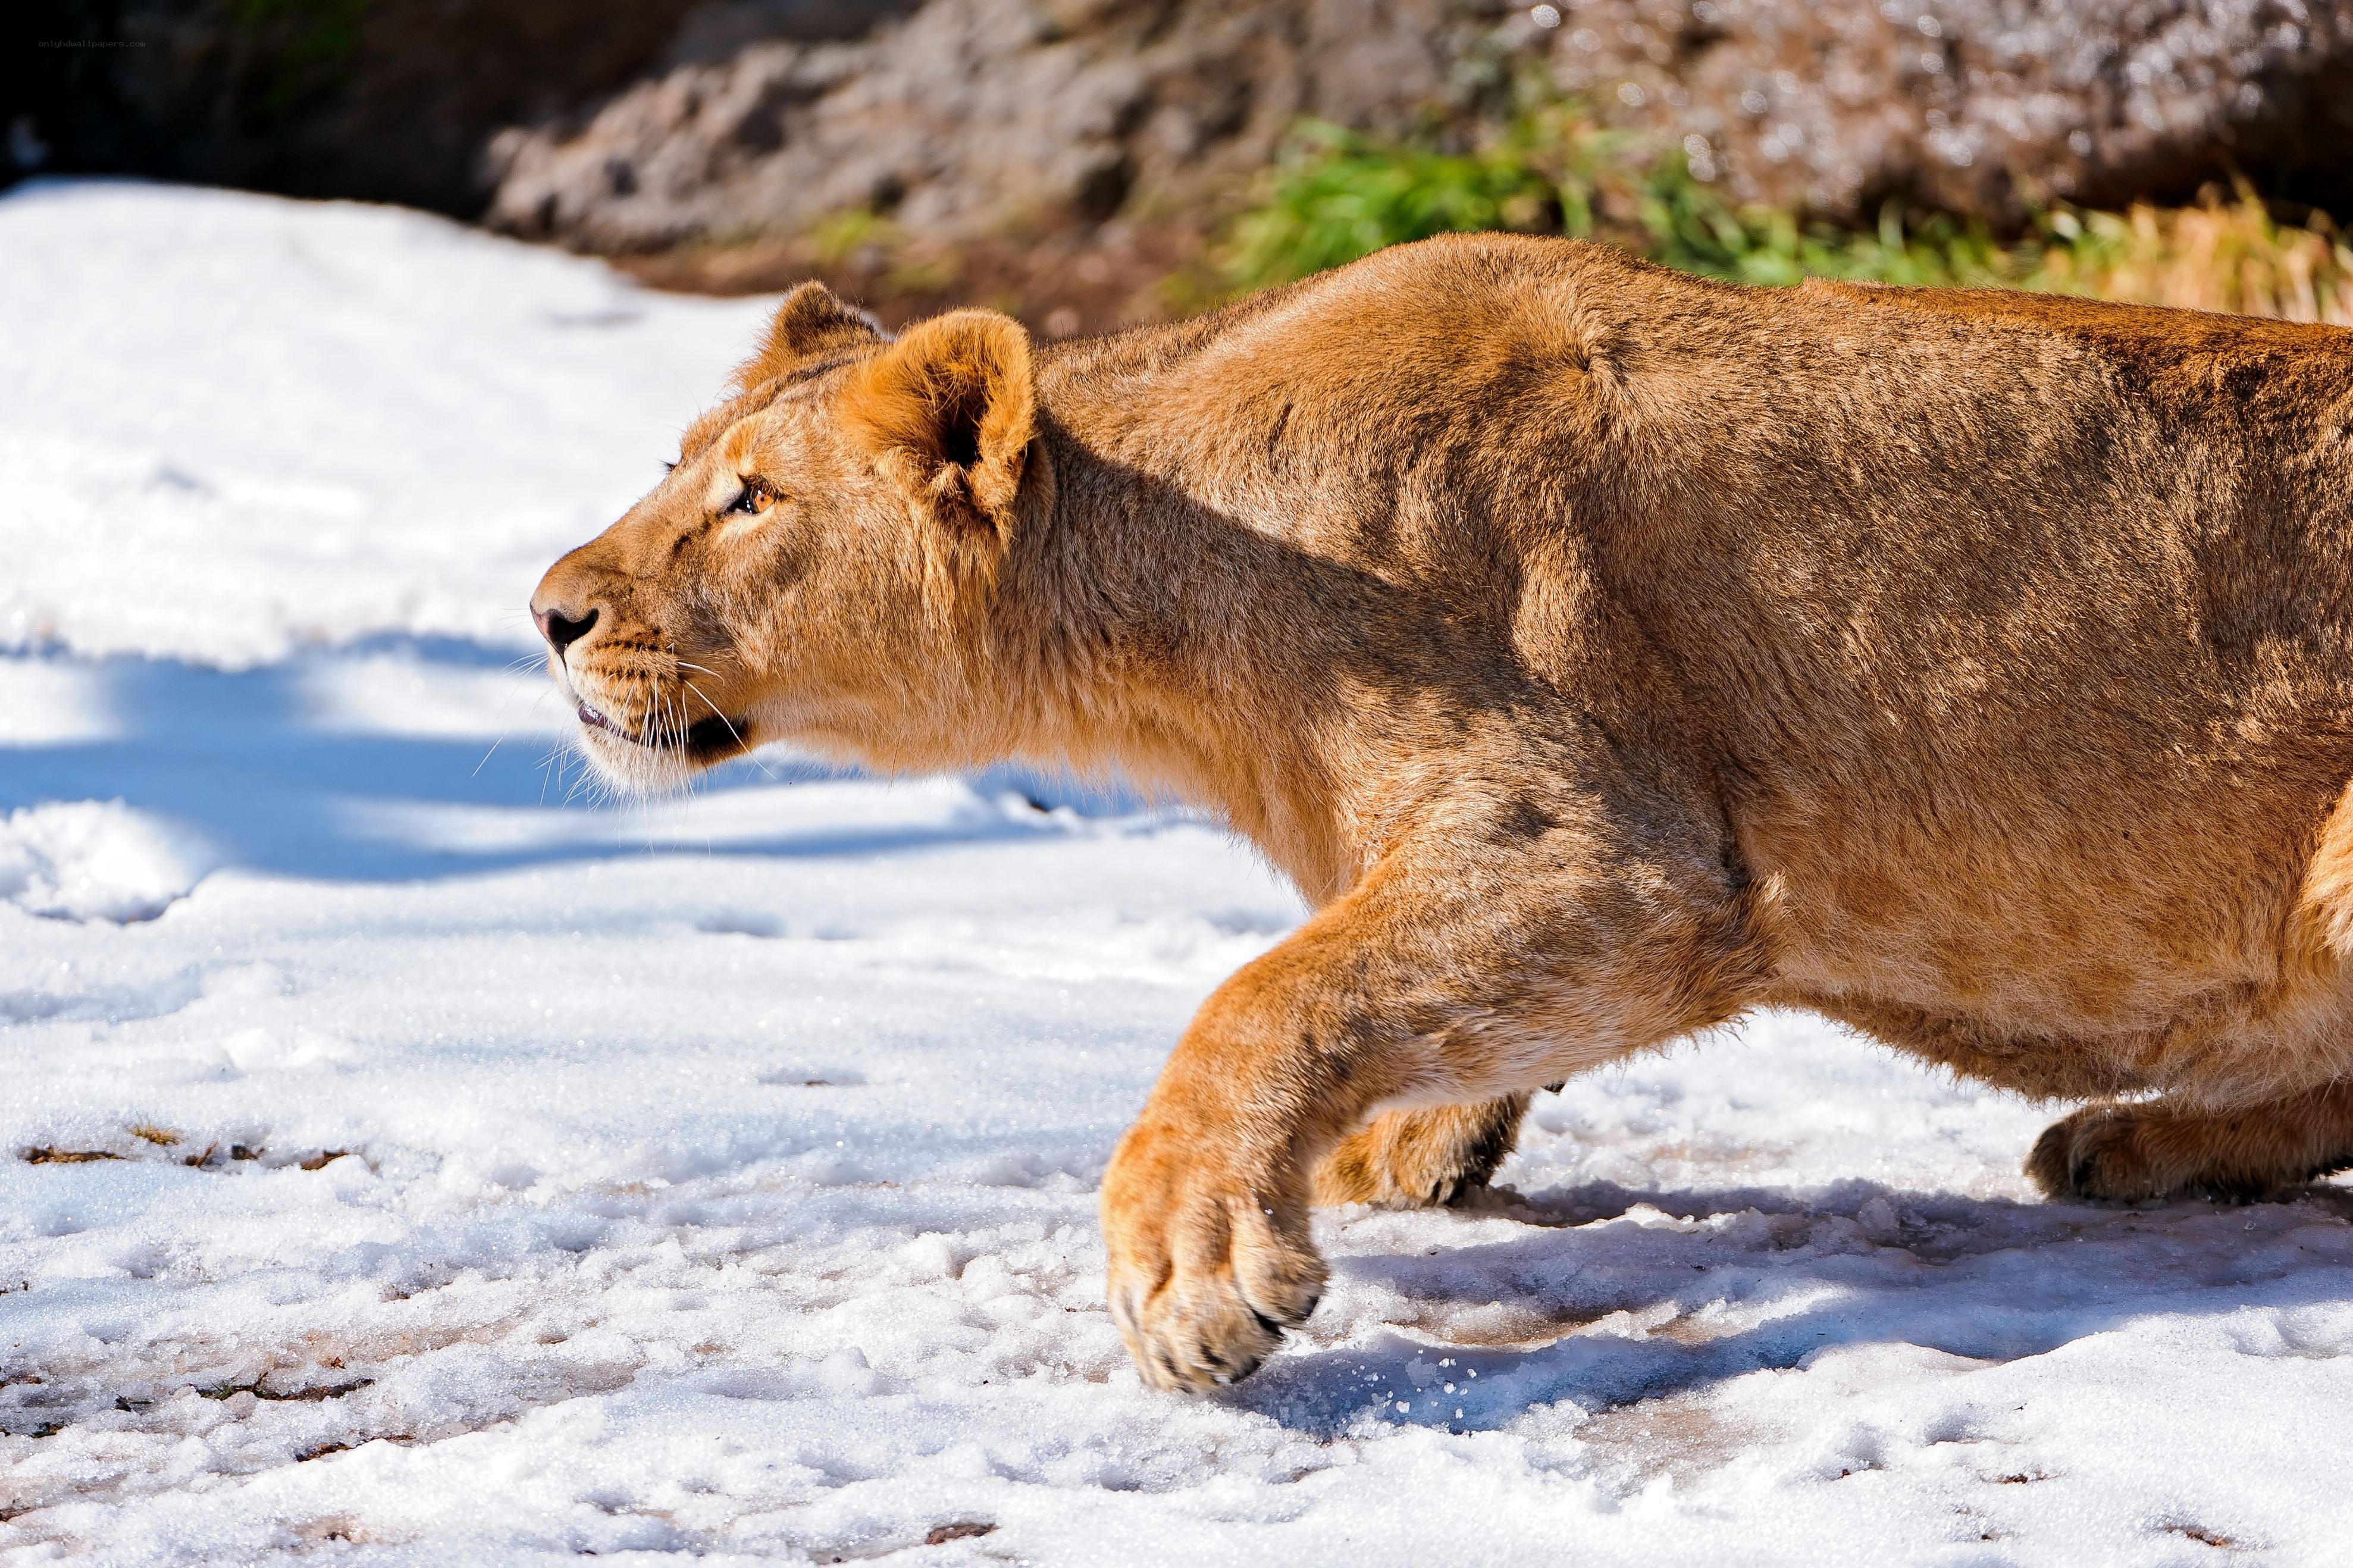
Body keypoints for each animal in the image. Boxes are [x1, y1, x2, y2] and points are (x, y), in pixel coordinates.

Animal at [532, 233, 2353, 1391]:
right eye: (675, 460)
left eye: (750, 500)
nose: (549, 611)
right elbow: (1375, 986)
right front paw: (1411, 1141)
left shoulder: (1628, 851)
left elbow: (1260, 995)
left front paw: (1192, 1268)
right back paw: (2138, 1138)